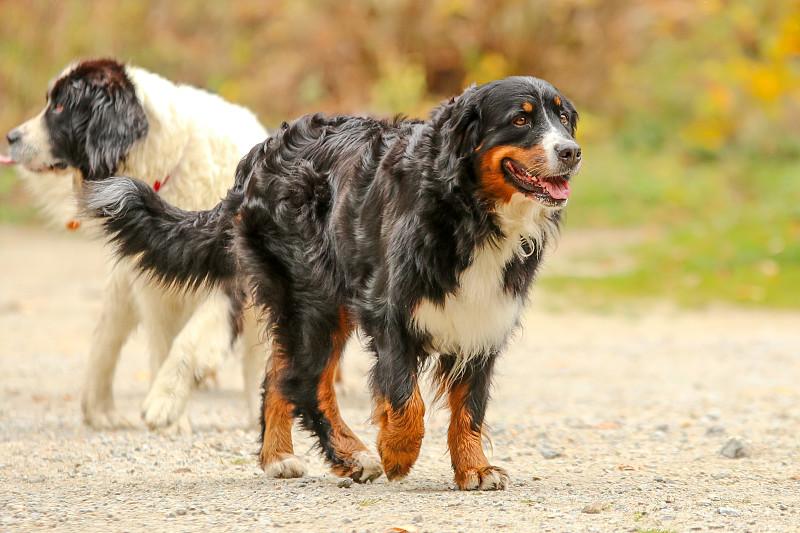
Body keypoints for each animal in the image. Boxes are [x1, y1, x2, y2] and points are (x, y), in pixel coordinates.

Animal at [0, 59, 270, 432]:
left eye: (60, 107)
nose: (11, 137)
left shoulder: (230, 287)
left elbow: (188, 342)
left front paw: (163, 402)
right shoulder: (153, 289)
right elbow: (162, 345)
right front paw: (172, 416)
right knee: (106, 337)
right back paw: (100, 409)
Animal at [81, 77, 580, 488]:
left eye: (563, 117)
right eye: (521, 119)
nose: (571, 151)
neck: (468, 209)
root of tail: (258, 158)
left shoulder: (484, 320)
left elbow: (470, 408)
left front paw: (474, 467)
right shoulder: (390, 311)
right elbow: (408, 400)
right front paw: (397, 452)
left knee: (279, 376)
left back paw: (278, 457)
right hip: (314, 297)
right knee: (304, 382)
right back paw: (351, 456)